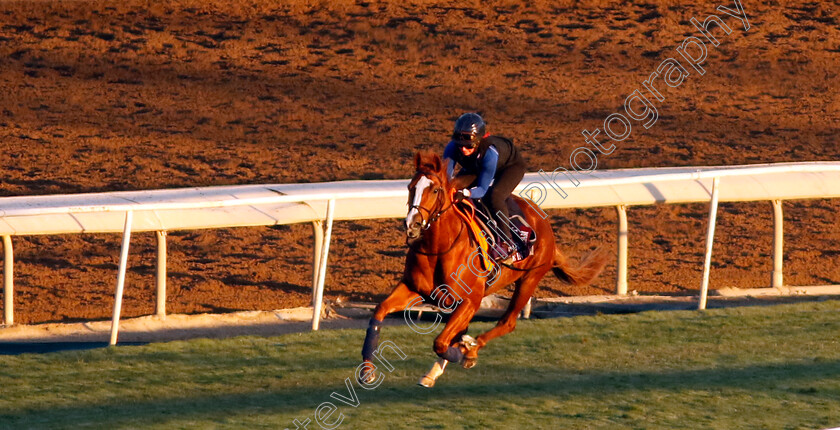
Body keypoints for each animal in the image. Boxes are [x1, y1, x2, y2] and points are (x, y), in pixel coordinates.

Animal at [358, 153, 608, 388]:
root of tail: (544, 222)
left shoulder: (471, 300)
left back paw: (469, 349)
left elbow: (441, 342)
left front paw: (465, 351)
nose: (413, 225)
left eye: (435, 189)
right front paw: (367, 372)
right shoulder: (415, 289)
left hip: (529, 278)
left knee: (507, 323)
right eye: (411, 187)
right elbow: (379, 312)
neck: (438, 248)